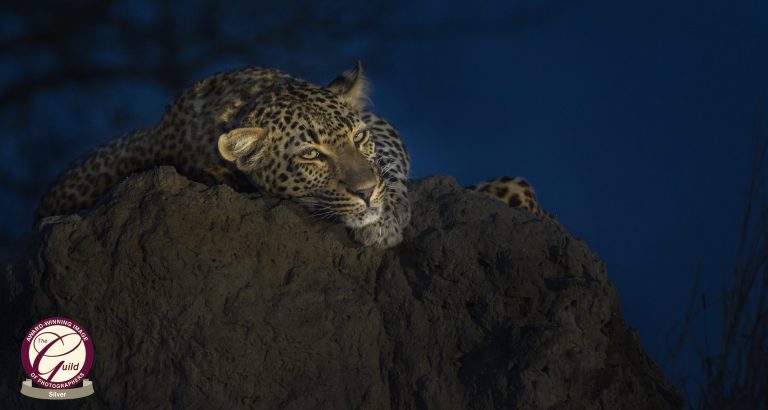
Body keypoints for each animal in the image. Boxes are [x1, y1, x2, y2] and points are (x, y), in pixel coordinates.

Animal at [34, 62, 544, 248]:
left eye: (359, 140)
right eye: (313, 156)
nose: (365, 193)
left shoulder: (379, 125)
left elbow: (389, 163)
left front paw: (384, 216)